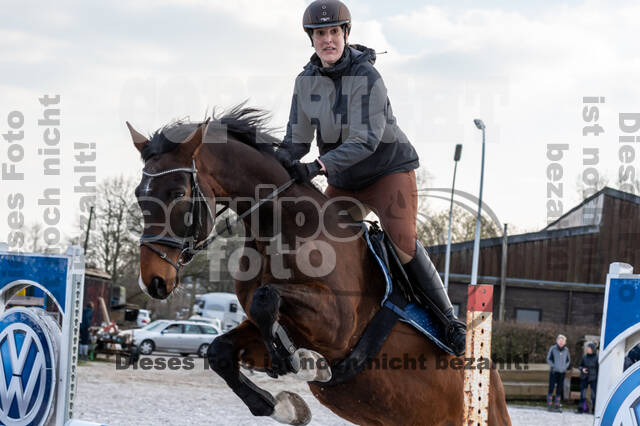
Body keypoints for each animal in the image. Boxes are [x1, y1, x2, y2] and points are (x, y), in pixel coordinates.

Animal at [129, 106, 510, 426]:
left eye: (178, 193)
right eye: (138, 194)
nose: (154, 281)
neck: (283, 228)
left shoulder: (338, 325)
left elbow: (267, 298)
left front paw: (309, 364)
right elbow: (223, 350)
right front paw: (284, 405)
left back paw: (456, 334)